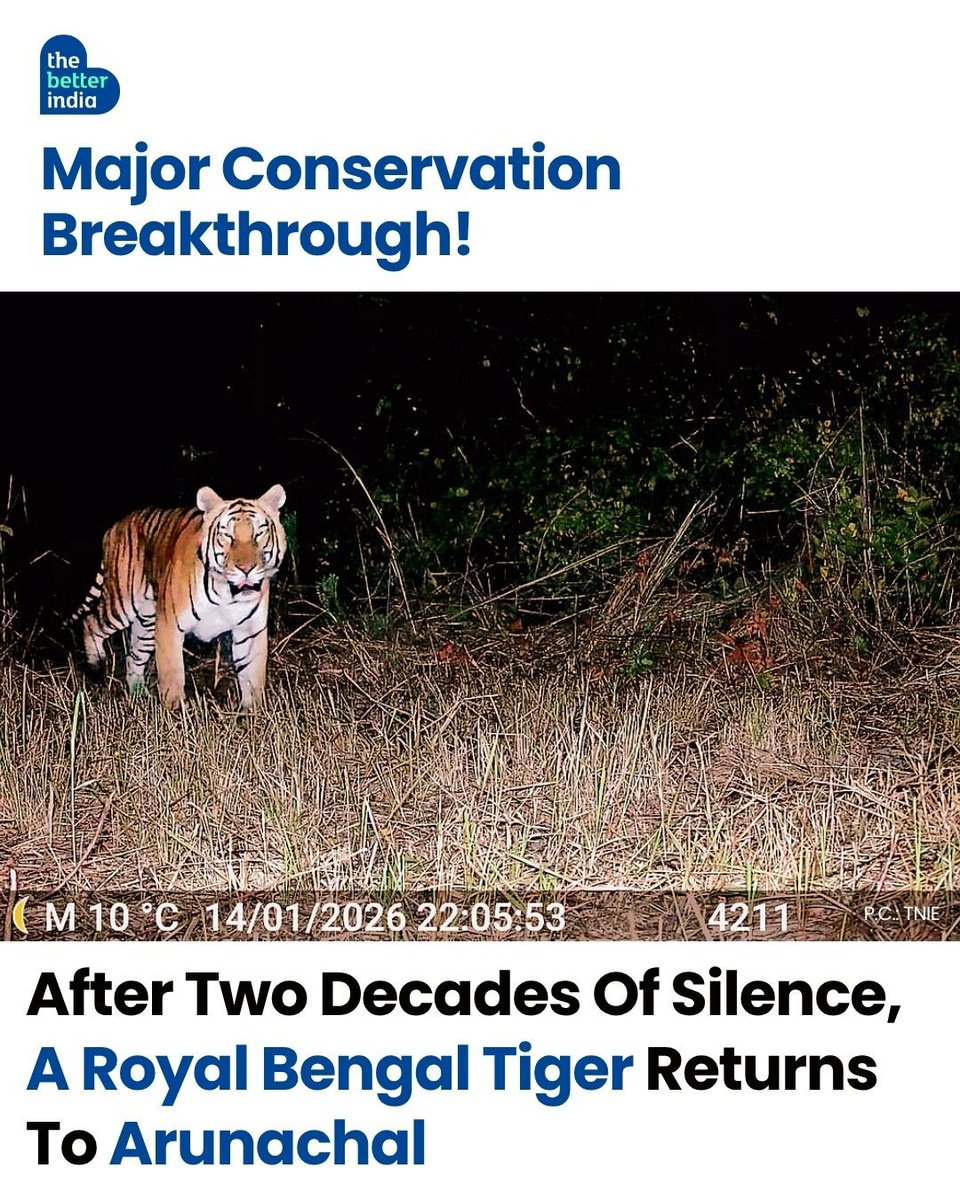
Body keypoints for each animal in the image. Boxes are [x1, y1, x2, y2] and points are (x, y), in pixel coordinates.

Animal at [72, 485, 287, 710]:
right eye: (227, 535)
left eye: (259, 533)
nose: (246, 569)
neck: (226, 593)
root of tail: (114, 526)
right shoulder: (169, 626)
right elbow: (172, 676)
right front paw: (175, 712)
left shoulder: (250, 632)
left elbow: (253, 679)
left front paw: (253, 713)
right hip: (122, 602)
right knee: (90, 622)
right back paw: (96, 669)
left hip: (147, 622)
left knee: (133, 657)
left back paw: (139, 697)